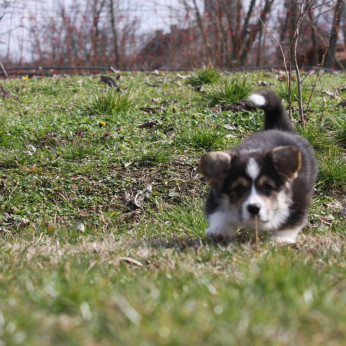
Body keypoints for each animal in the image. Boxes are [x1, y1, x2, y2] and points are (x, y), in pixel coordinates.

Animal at [199, 90, 318, 243]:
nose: (254, 208)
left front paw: (281, 240)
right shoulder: (216, 196)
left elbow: (290, 222)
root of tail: (279, 128)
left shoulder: (297, 200)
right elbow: (219, 214)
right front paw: (219, 231)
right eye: (239, 189)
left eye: (267, 187)